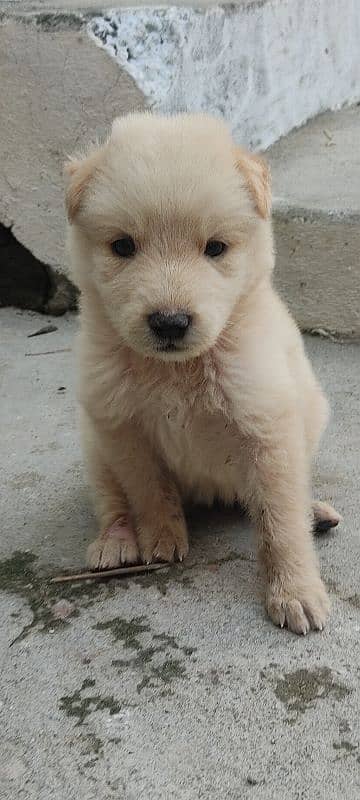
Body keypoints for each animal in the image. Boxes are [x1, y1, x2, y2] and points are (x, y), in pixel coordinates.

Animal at [65, 114, 340, 636]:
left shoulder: (268, 428)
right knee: (111, 501)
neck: (176, 370)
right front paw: (161, 538)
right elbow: (148, 490)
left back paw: (315, 512)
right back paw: (116, 541)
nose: (170, 322)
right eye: (122, 246)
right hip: (94, 445)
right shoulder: (124, 429)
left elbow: (280, 521)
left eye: (216, 248)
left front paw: (295, 591)